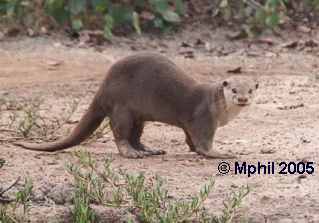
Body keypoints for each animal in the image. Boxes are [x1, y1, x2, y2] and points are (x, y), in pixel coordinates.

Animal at [15, 52, 260, 159]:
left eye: (250, 90)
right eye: (233, 90)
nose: (243, 99)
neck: (217, 107)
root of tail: (103, 87)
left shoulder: (190, 124)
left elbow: (190, 140)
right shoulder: (203, 118)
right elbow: (203, 143)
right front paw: (219, 153)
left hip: (138, 116)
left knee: (136, 134)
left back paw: (149, 150)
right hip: (122, 108)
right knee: (121, 133)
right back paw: (131, 153)